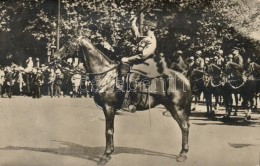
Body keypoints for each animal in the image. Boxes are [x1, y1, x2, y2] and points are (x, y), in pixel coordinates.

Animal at [53, 36, 192, 165]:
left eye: (68, 43)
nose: (55, 56)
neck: (106, 76)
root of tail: (184, 78)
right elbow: (111, 130)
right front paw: (109, 153)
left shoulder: (109, 107)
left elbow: (108, 131)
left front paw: (105, 155)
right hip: (172, 107)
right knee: (184, 126)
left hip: (177, 108)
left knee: (184, 127)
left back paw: (182, 155)